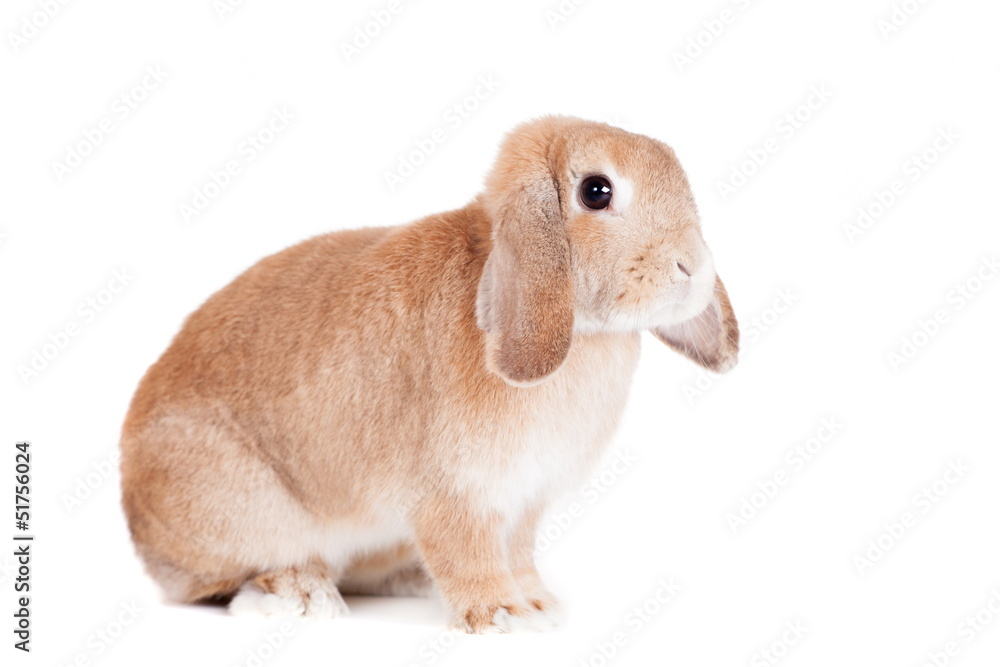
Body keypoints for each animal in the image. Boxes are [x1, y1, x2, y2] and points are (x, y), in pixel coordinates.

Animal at [121, 116, 740, 636]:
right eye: (596, 191)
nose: (692, 266)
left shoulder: (524, 502)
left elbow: (517, 553)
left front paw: (540, 605)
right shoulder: (453, 494)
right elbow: (466, 553)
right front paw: (502, 616)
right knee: (222, 582)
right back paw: (302, 595)